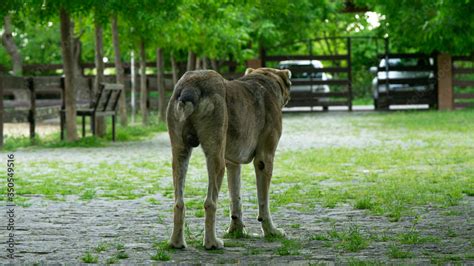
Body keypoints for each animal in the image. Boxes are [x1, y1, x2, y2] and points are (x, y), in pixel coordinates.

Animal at [167, 66, 292, 249]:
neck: (263, 79)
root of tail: (191, 84)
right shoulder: (264, 160)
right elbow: (264, 202)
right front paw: (271, 231)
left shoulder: (232, 163)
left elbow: (235, 199)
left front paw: (237, 230)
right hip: (215, 159)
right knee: (210, 203)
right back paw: (212, 243)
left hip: (180, 155)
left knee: (179, 203)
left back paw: (176, 243)